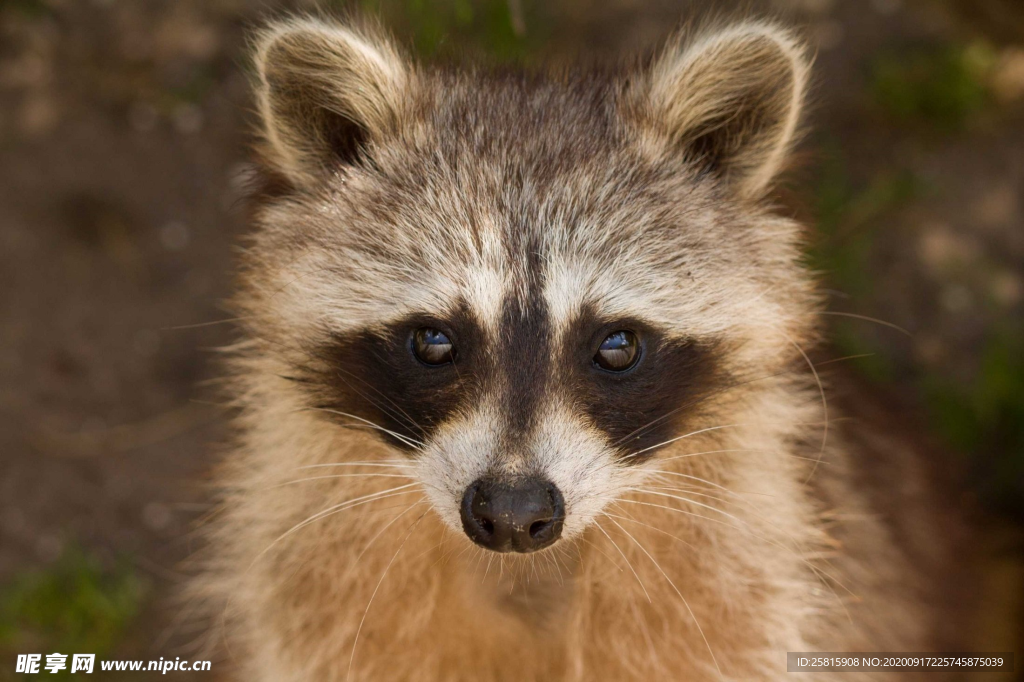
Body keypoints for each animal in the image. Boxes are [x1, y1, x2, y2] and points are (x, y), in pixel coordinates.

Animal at [195, 15, 970, 679]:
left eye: (617, 345)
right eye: (434, 340)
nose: (512, 515)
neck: (526, 575)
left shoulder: (745, 594)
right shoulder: (316, 588)